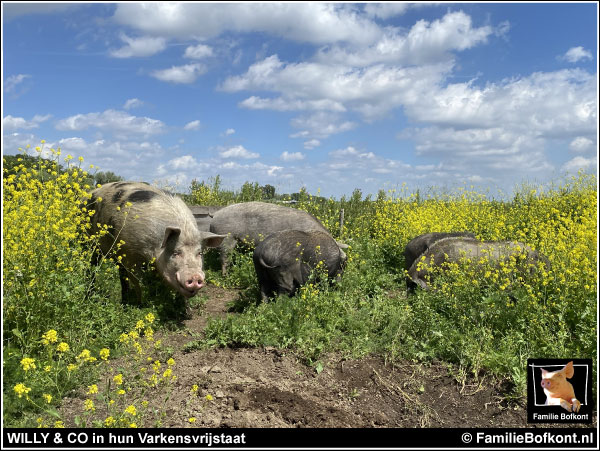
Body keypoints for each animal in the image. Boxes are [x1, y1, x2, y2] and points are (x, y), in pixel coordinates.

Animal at [85, 181, 224, 310]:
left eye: (199, 253)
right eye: (175, 252)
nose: (195, 277)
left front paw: (184, 310)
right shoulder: (130, 256)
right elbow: (138, 282)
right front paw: (140, 305)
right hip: (91, 244)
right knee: (93, 266)